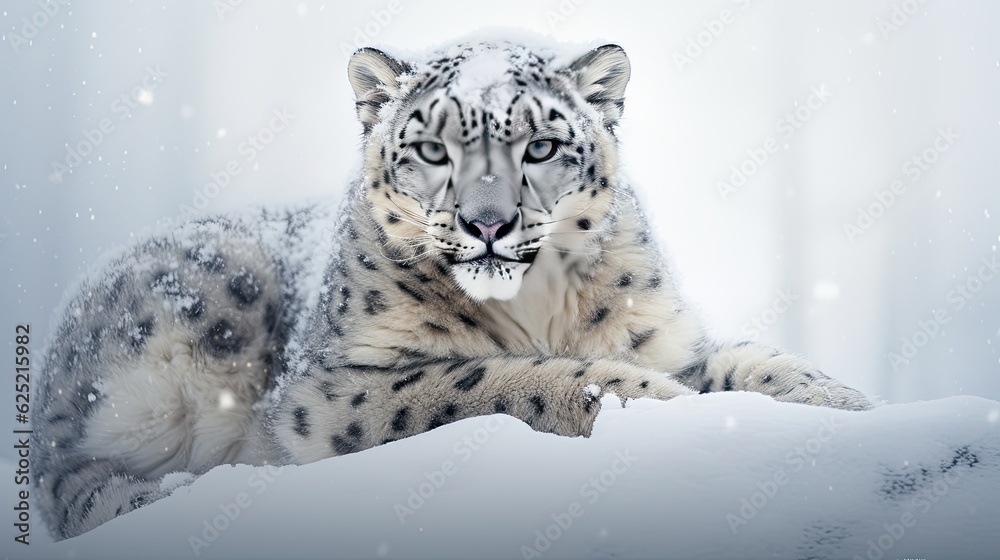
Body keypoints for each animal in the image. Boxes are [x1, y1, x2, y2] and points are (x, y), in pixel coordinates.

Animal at [33, 38, 873, 540]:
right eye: (432, 149)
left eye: (542, 144)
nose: (488, 221)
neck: (538, 308)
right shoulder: (338, 388)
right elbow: (495, 382)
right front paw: (646, 400)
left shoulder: (663, 336)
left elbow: (748, 360)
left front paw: (837, 399)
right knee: (79, 478)